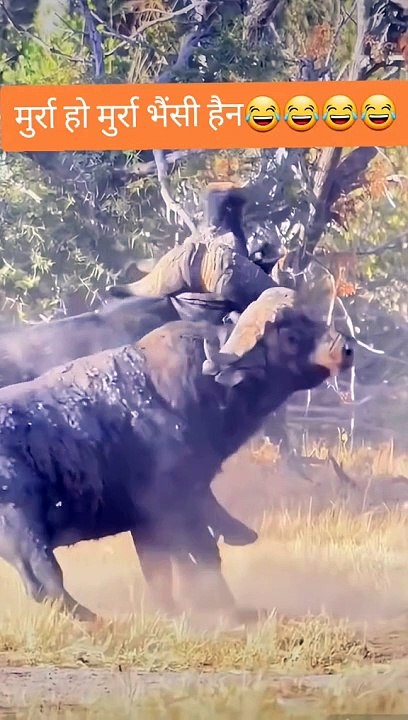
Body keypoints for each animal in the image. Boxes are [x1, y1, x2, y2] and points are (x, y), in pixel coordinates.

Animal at [0, 284, 353, 625]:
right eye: (290, 336)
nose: (346, 349)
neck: (193, 391)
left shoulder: (147, 521)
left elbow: (159, 571)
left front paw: (172, 610)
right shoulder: (178, 506)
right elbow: (203, 556)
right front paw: (226, 608)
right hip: (21, 528)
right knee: (44, 580)